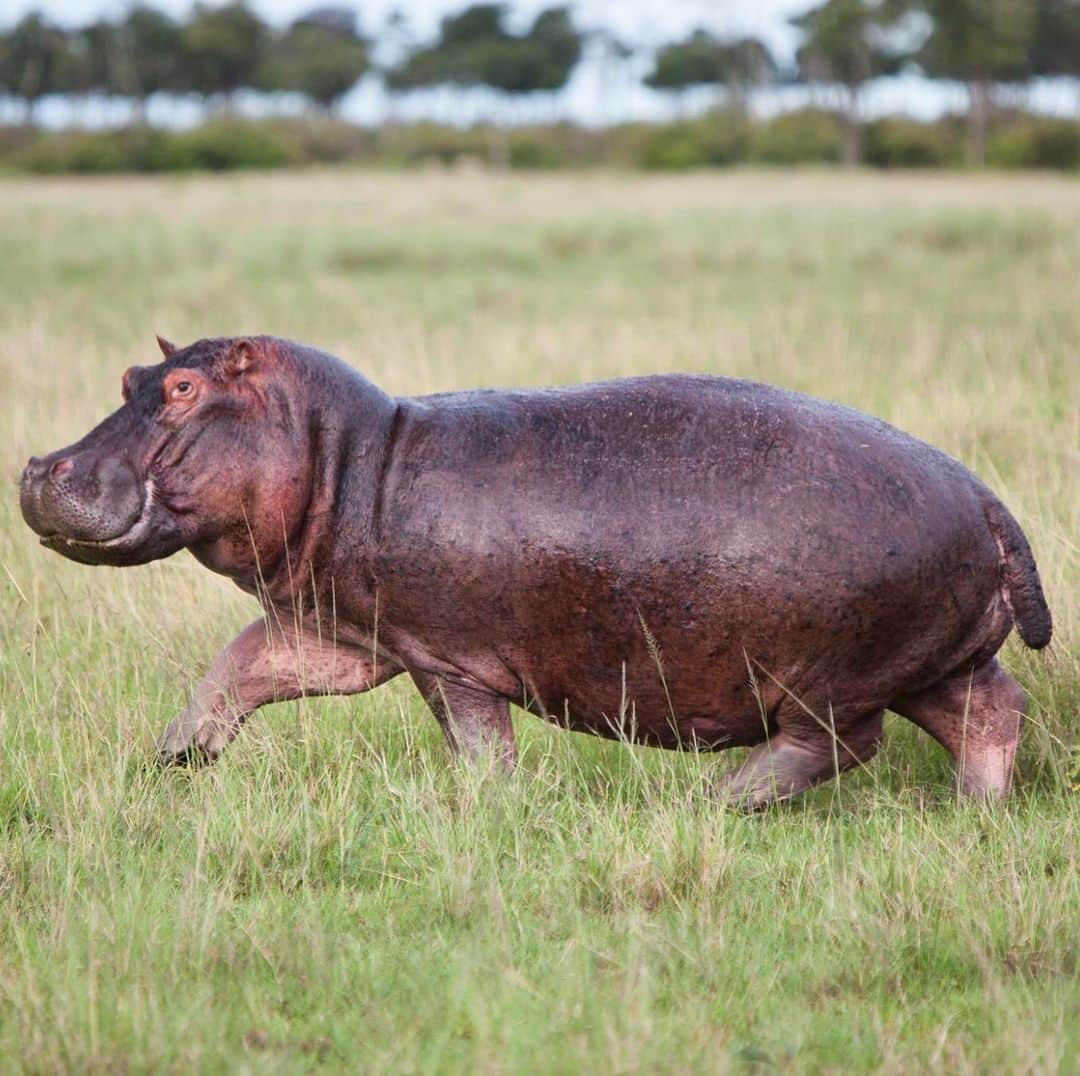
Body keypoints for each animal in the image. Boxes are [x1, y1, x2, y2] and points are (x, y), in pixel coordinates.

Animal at [20, 335, 1052, 806]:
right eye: (127, 379)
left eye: (183, 388)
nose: (38, 468)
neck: (347, 456)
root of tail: (986, 499)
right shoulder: (342, 630)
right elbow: (238, 667)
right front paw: (174, 761)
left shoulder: (445, 655)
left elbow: (477, 742)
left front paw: (488, 808)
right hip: (933, 656)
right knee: (989, 711)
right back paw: (975, 812)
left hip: (830, 674)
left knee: (837, 743)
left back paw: (718, 801)